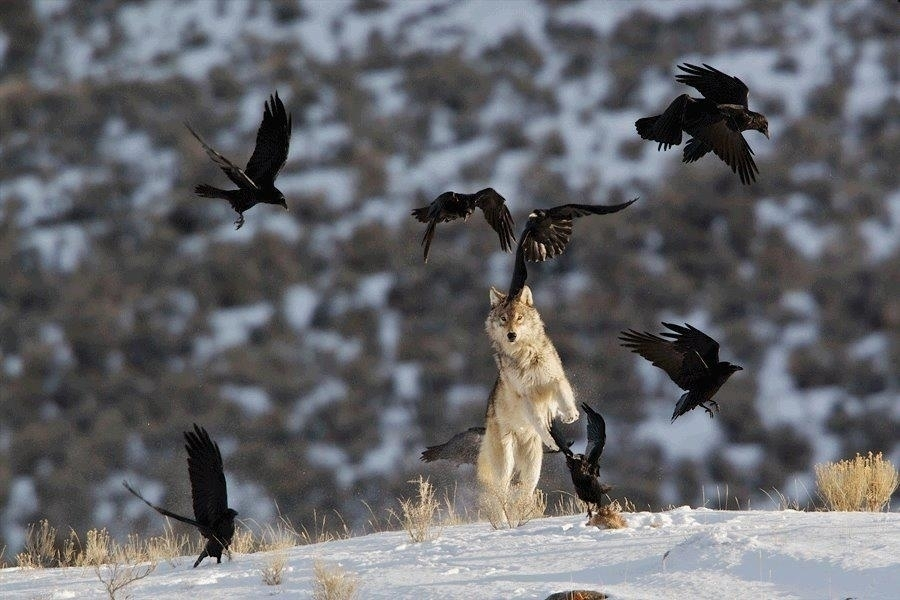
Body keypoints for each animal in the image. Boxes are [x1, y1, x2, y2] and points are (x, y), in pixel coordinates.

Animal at [474, 284, 580, 500]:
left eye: (519, 318)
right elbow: (539, 421)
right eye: (503, 318)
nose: (511, 335)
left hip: (532, 470)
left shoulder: (555, 378)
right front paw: (551, 439)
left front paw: (570, 414)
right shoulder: (526, 397)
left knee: (525, 490)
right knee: (501, 492)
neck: (526, 355)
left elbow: (564, 394)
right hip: (505, 465)